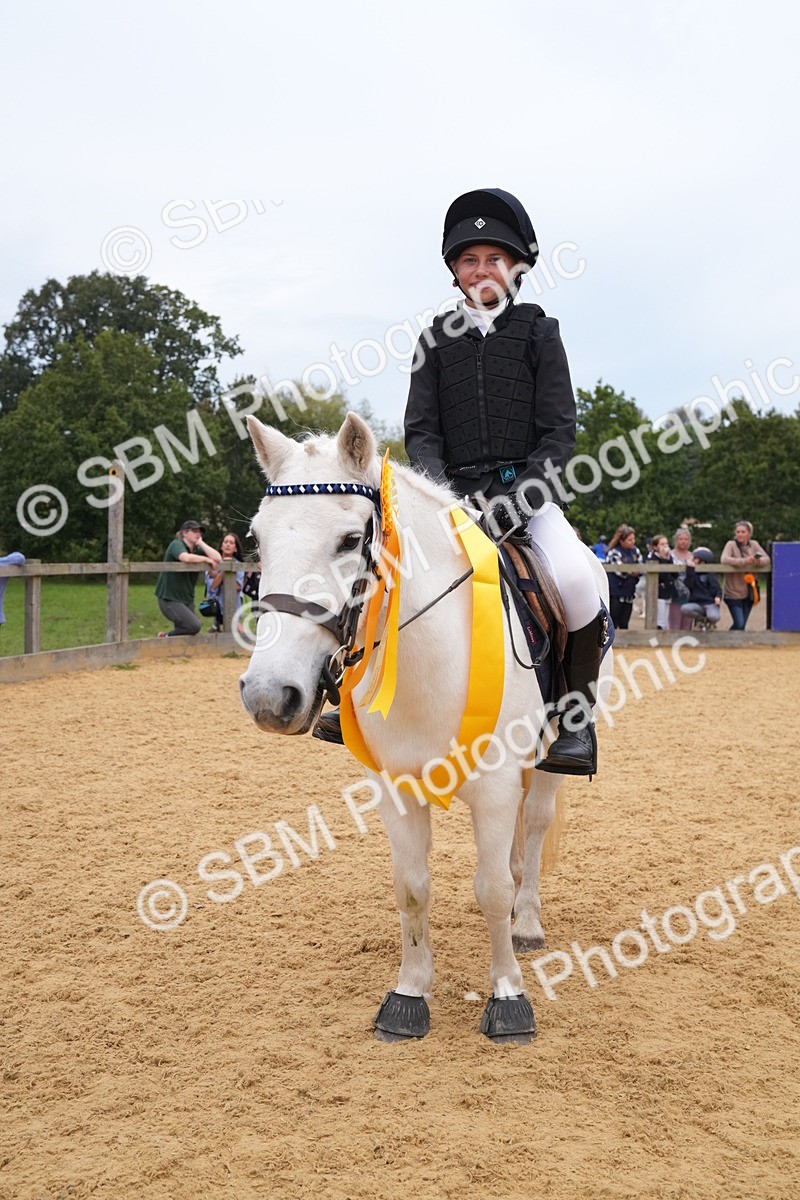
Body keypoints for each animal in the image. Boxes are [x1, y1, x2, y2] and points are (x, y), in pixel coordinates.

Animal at [238, 411, 612, 1044]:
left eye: (349, 539)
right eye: (258, 540)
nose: (270, 696)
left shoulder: (493, 786)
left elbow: (491, 890)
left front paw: (508, 998)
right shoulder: (396, 787)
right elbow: (412, 888)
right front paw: (409, 995)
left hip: (548, 754)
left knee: (534, 826)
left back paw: (528, 921)